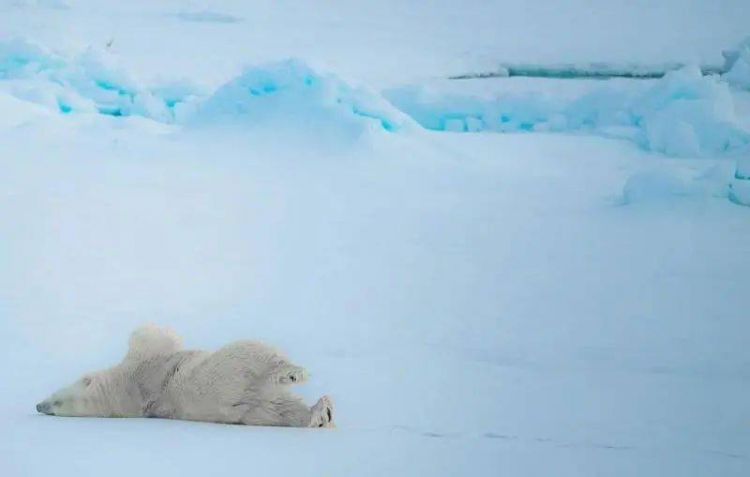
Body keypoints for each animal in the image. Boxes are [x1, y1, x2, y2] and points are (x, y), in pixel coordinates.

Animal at [35, 324, 334, 428]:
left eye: (56, 403)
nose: (40, 406)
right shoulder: (143, 364)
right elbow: (150, 336)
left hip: (251, 408)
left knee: (280, 411)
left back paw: (319, 414)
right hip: (227, 371)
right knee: (255, 352)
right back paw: (301, 382)